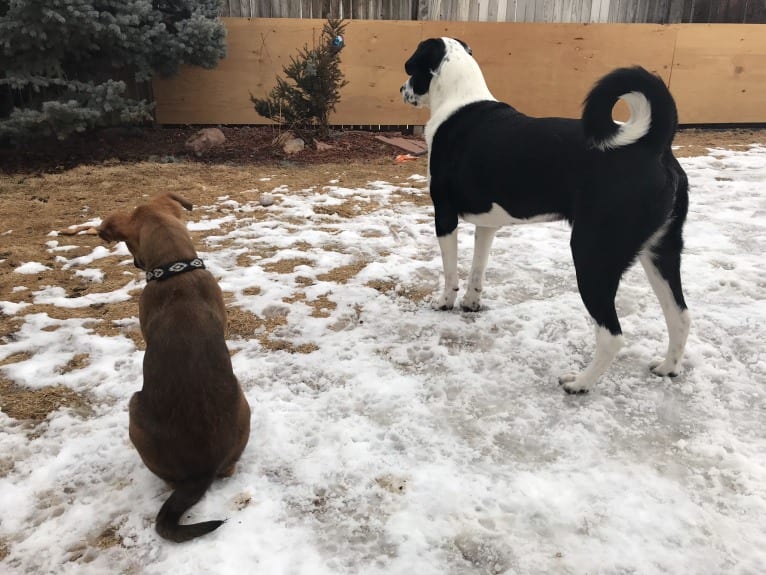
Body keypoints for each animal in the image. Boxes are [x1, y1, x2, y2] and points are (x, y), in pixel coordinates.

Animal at [97, 194, 250, 544]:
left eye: (128, 243)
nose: (136, 263)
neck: (175, 270)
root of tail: (201, 472)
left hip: (133, 410)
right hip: (245, 403)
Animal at [404, 38, 692, 394]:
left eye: (411, 68)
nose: (402, 89)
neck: (459, 98)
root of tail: (653, 146)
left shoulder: (444, 216)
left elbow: (451, 272)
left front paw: (445, 302)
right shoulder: (487, 224)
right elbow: (477, 270)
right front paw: (471, 303)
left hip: (592, 255)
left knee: (612, 335)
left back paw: (580, 382)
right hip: (660, 253)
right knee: (679, 316)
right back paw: (668, 367)